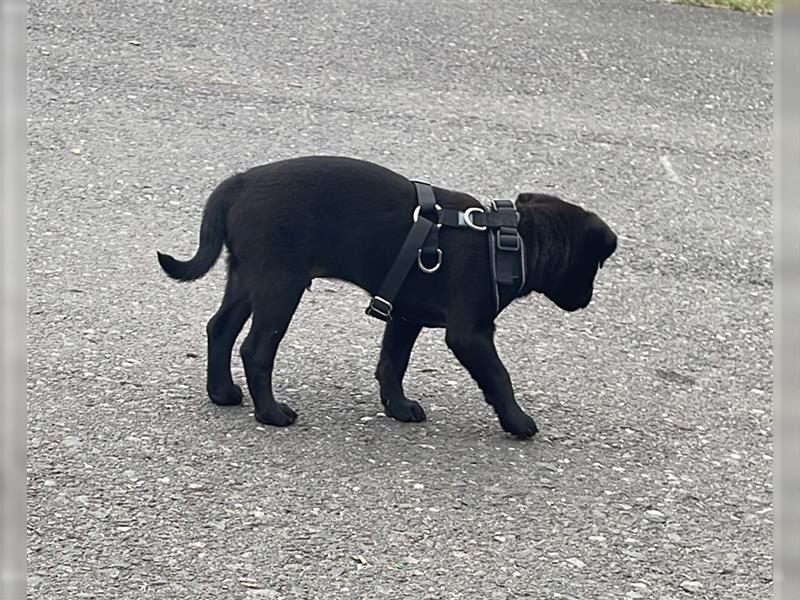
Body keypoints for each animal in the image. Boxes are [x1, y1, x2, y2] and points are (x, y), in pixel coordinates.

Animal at [158, 155, 620, 438]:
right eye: (594, 266)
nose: (587, 300)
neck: (506, 241)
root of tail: (237, 184)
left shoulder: (404, 316)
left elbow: (393, 364)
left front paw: (397, 408)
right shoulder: (470, 333)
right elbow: (498, 376)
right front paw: (518, 421)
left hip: (245, 277)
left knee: (219, 329)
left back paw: (222, 393)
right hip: (279, 284)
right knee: (255, 349)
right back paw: (271, 413)